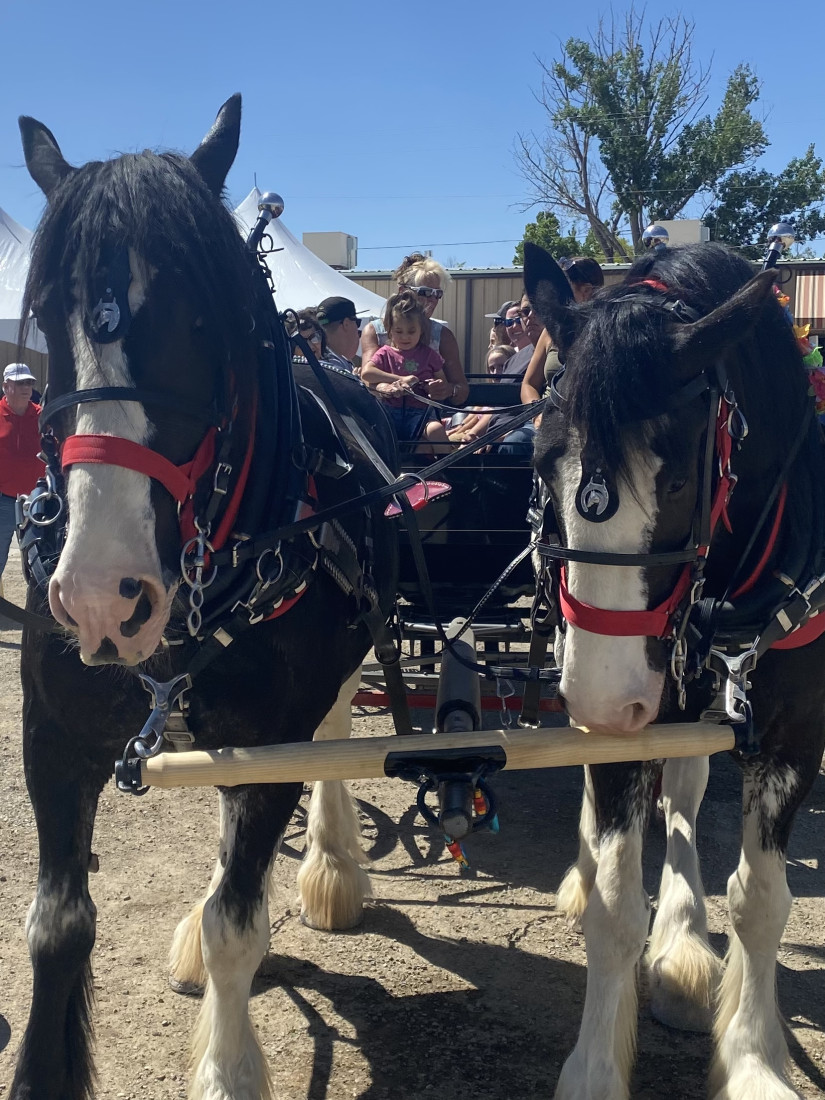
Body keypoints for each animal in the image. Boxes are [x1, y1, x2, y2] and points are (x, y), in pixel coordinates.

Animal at [12, 94, 400, 1100]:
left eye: (198, 318)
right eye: (48, 315)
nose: (102, 598)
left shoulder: (271, 745)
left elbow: (237, 925)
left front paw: (228, 1066)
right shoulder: (53, 738)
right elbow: (57, 925)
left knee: (331, 741)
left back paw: (332, 865)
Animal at [525, 243, 822, 1100]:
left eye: (680, 481)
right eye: (540, 464)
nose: (603, 700)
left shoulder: (794, 734)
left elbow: (759, 902)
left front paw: (753, 1059)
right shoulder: (623, 725)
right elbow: (614, 906)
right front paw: (594, 1067)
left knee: (685, 798)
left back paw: (685, 941)